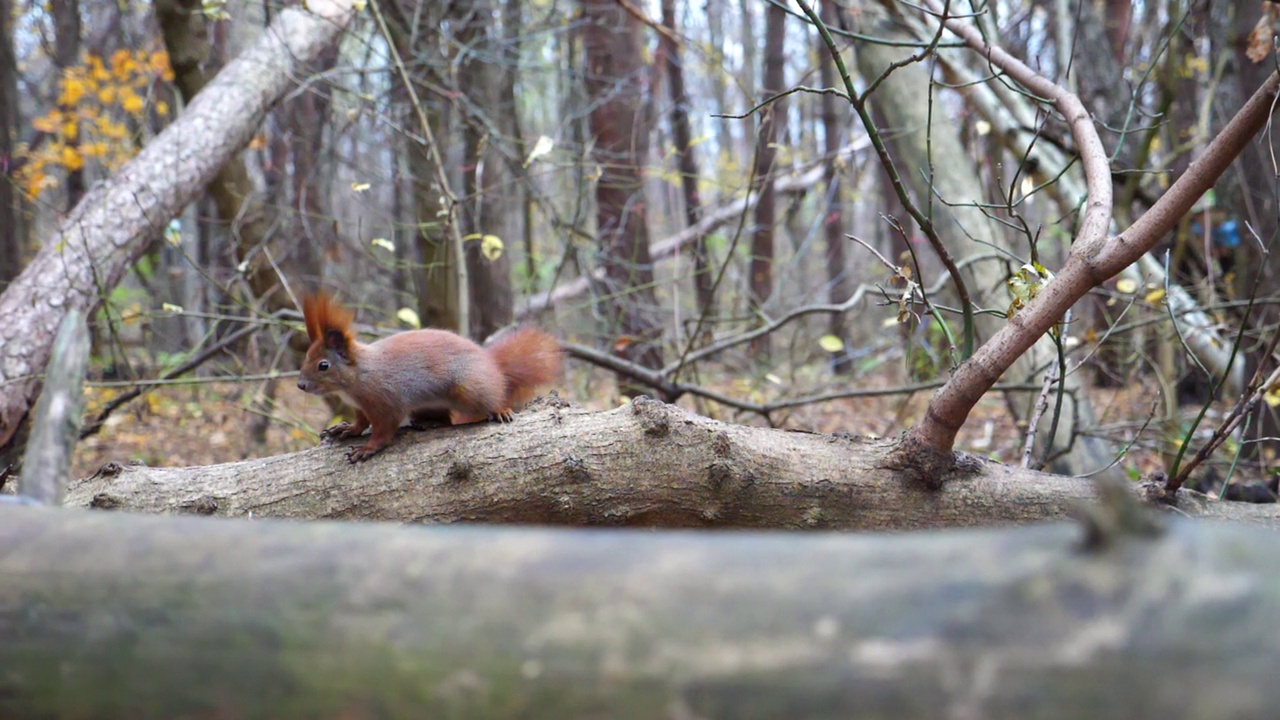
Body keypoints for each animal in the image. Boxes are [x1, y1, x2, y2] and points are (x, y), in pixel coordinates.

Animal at [302, 289, 563, 458]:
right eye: (306, 355)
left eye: (323, 365)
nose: (301, 385)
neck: (358, 375)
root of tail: (492, 365)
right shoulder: (361, 406)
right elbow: (361, 422)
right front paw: (349, 429)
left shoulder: (385, 401)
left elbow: (384, 429)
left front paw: (368, 448)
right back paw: (429, 423)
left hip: (470, 389)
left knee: (491, 398)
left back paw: (500, 409)